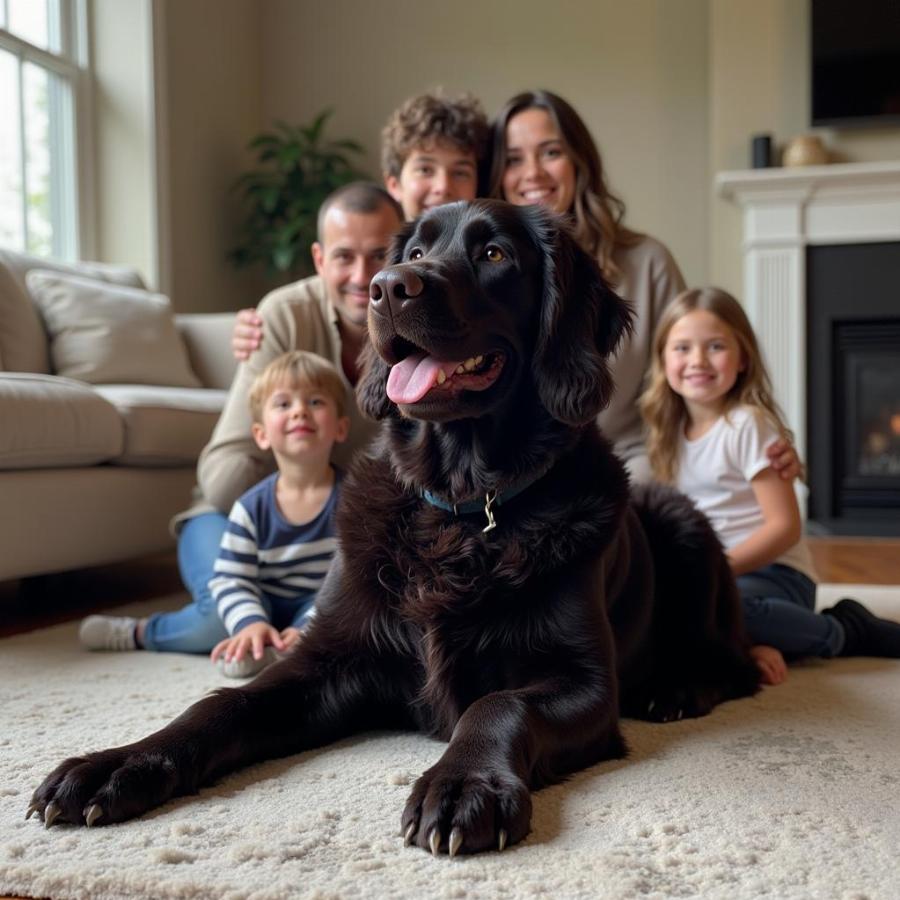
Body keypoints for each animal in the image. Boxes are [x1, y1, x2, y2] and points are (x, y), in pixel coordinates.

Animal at [29, 200, 760, 856]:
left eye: (495, 254)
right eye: (413, 250)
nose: (387, 288)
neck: (462, 507)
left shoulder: (584, 682)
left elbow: (498, 704)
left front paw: (464, 784)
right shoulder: (329, 659)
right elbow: (218, 705)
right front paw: (118, 763)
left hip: (682, 522)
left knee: (735, 659)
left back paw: (675, 688)